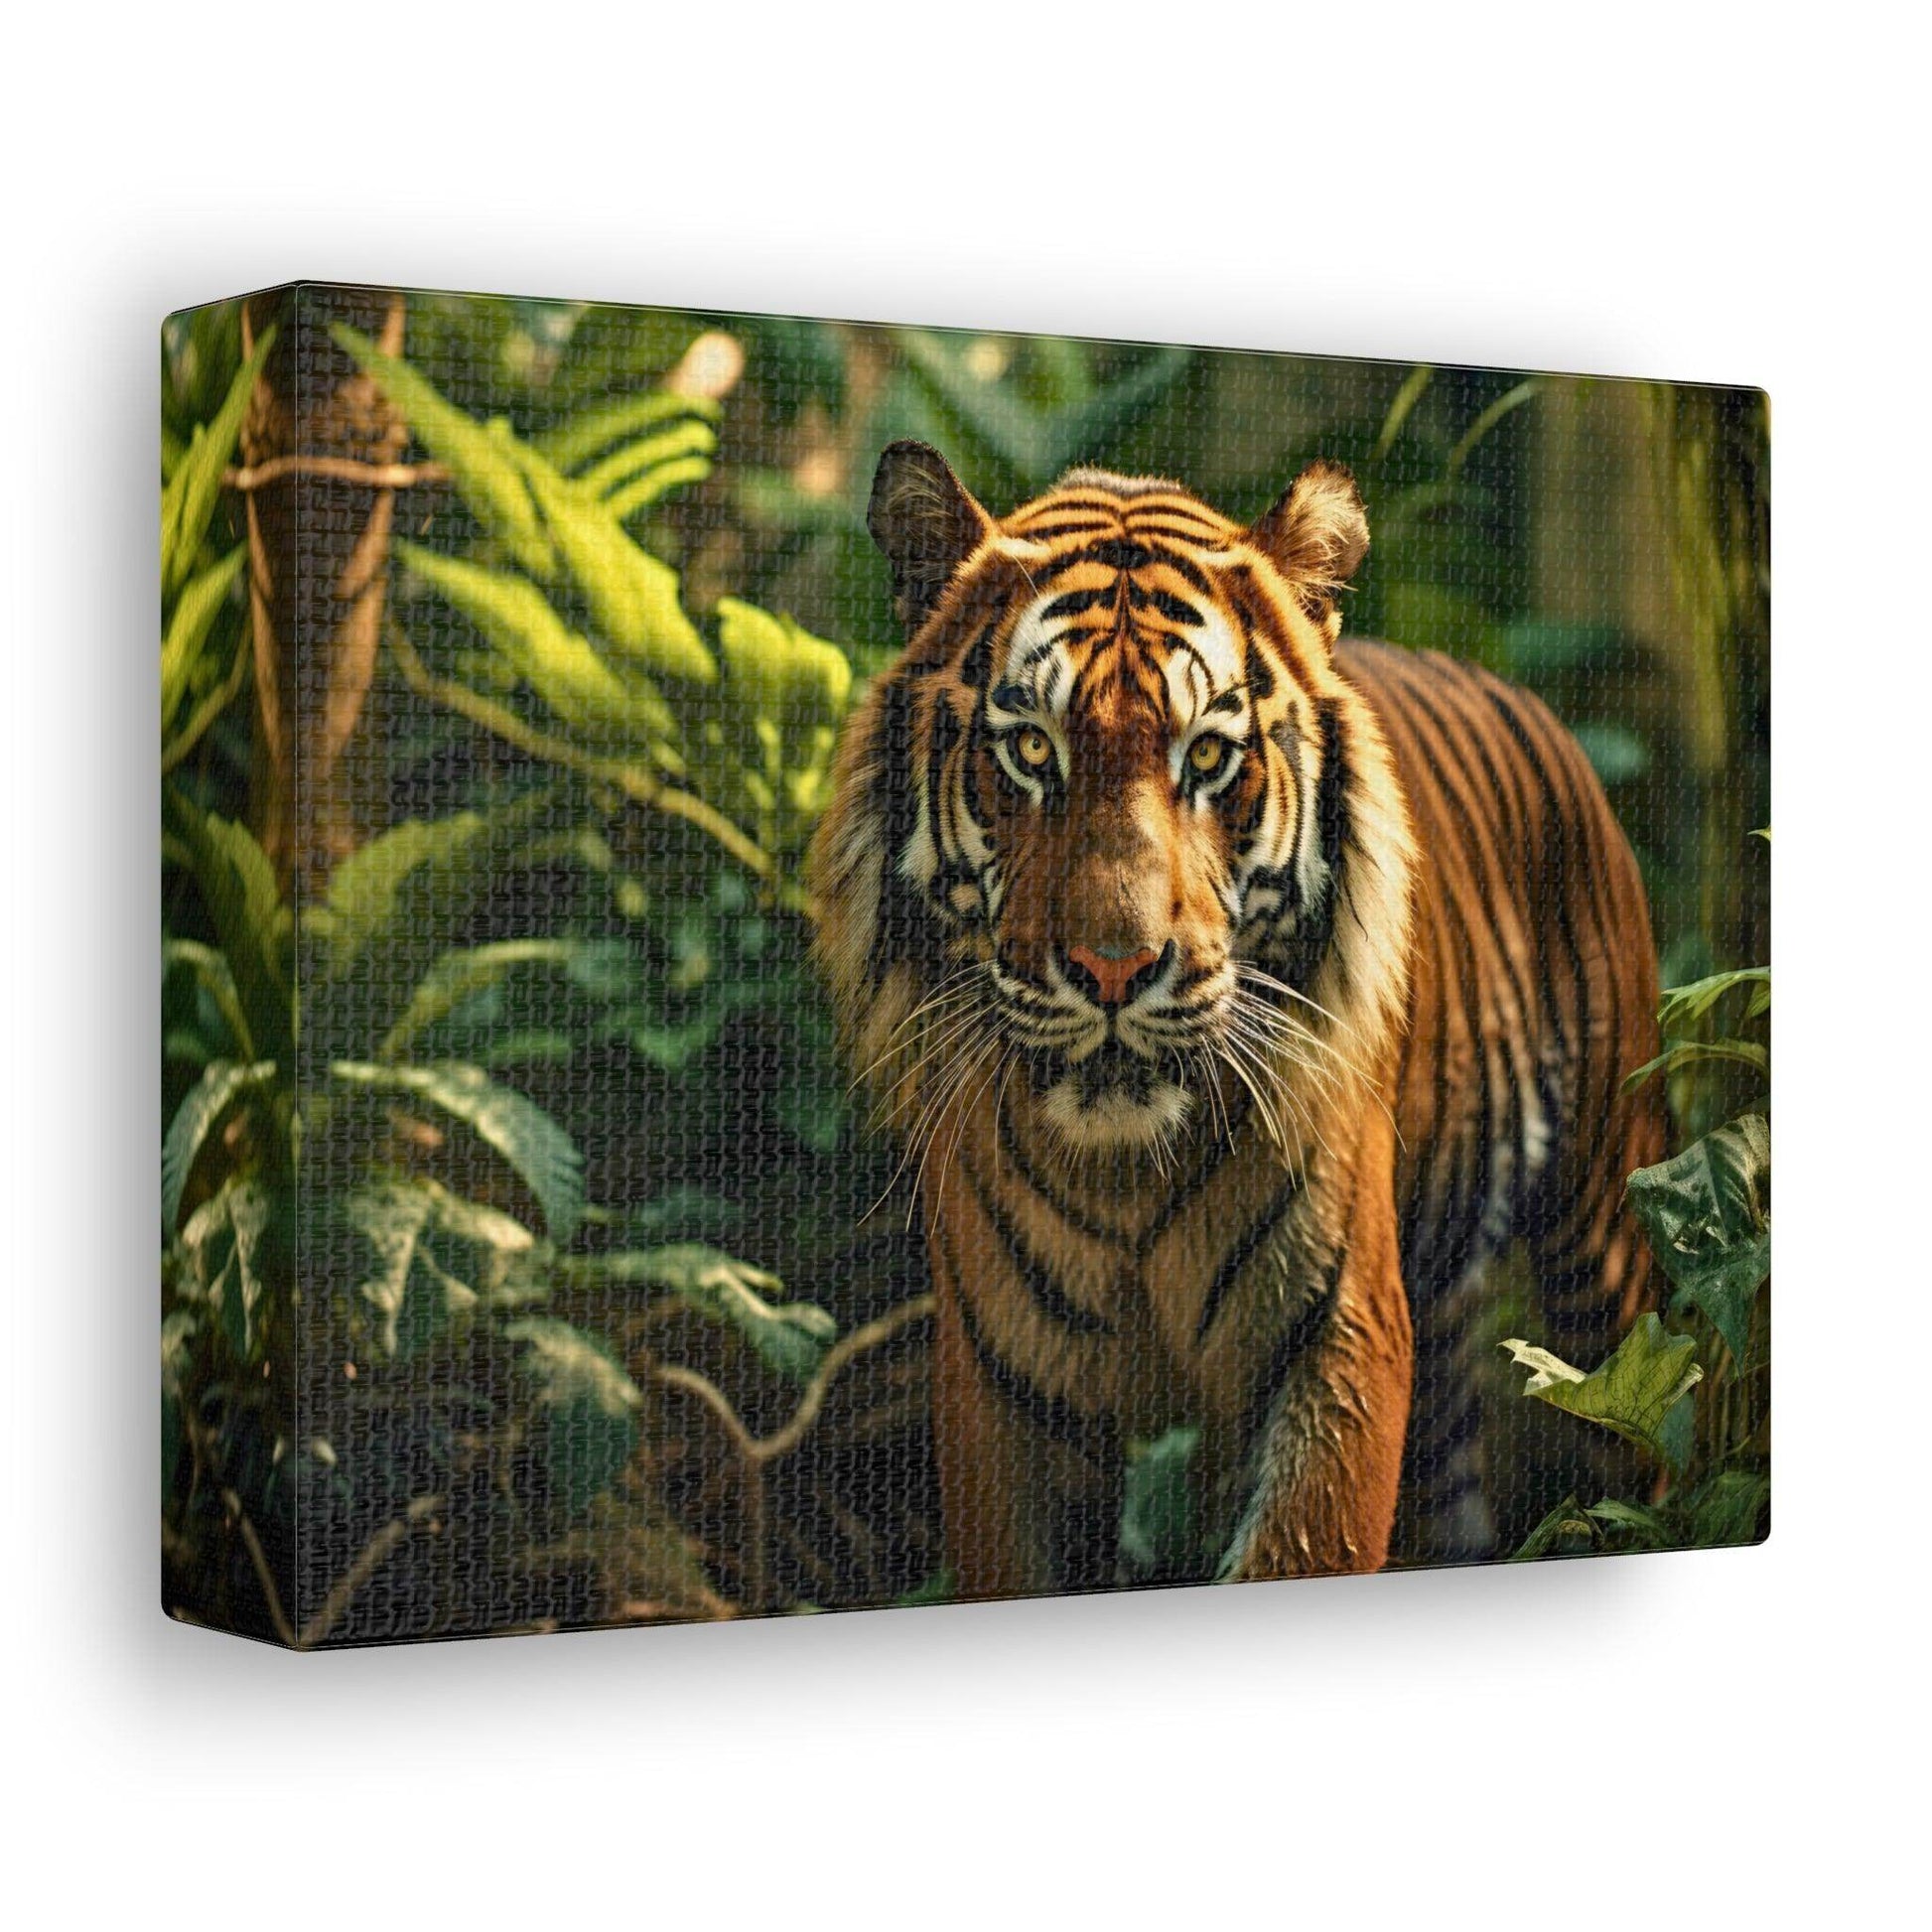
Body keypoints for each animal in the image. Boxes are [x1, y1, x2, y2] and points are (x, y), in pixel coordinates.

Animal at [808, 439, 1667, 1597]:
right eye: (1030, 750)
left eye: (1207, 757)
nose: (1113, 967)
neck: (1126, 1178)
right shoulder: (1001, 1381)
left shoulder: (1337, 1339)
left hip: (1606, 1232)